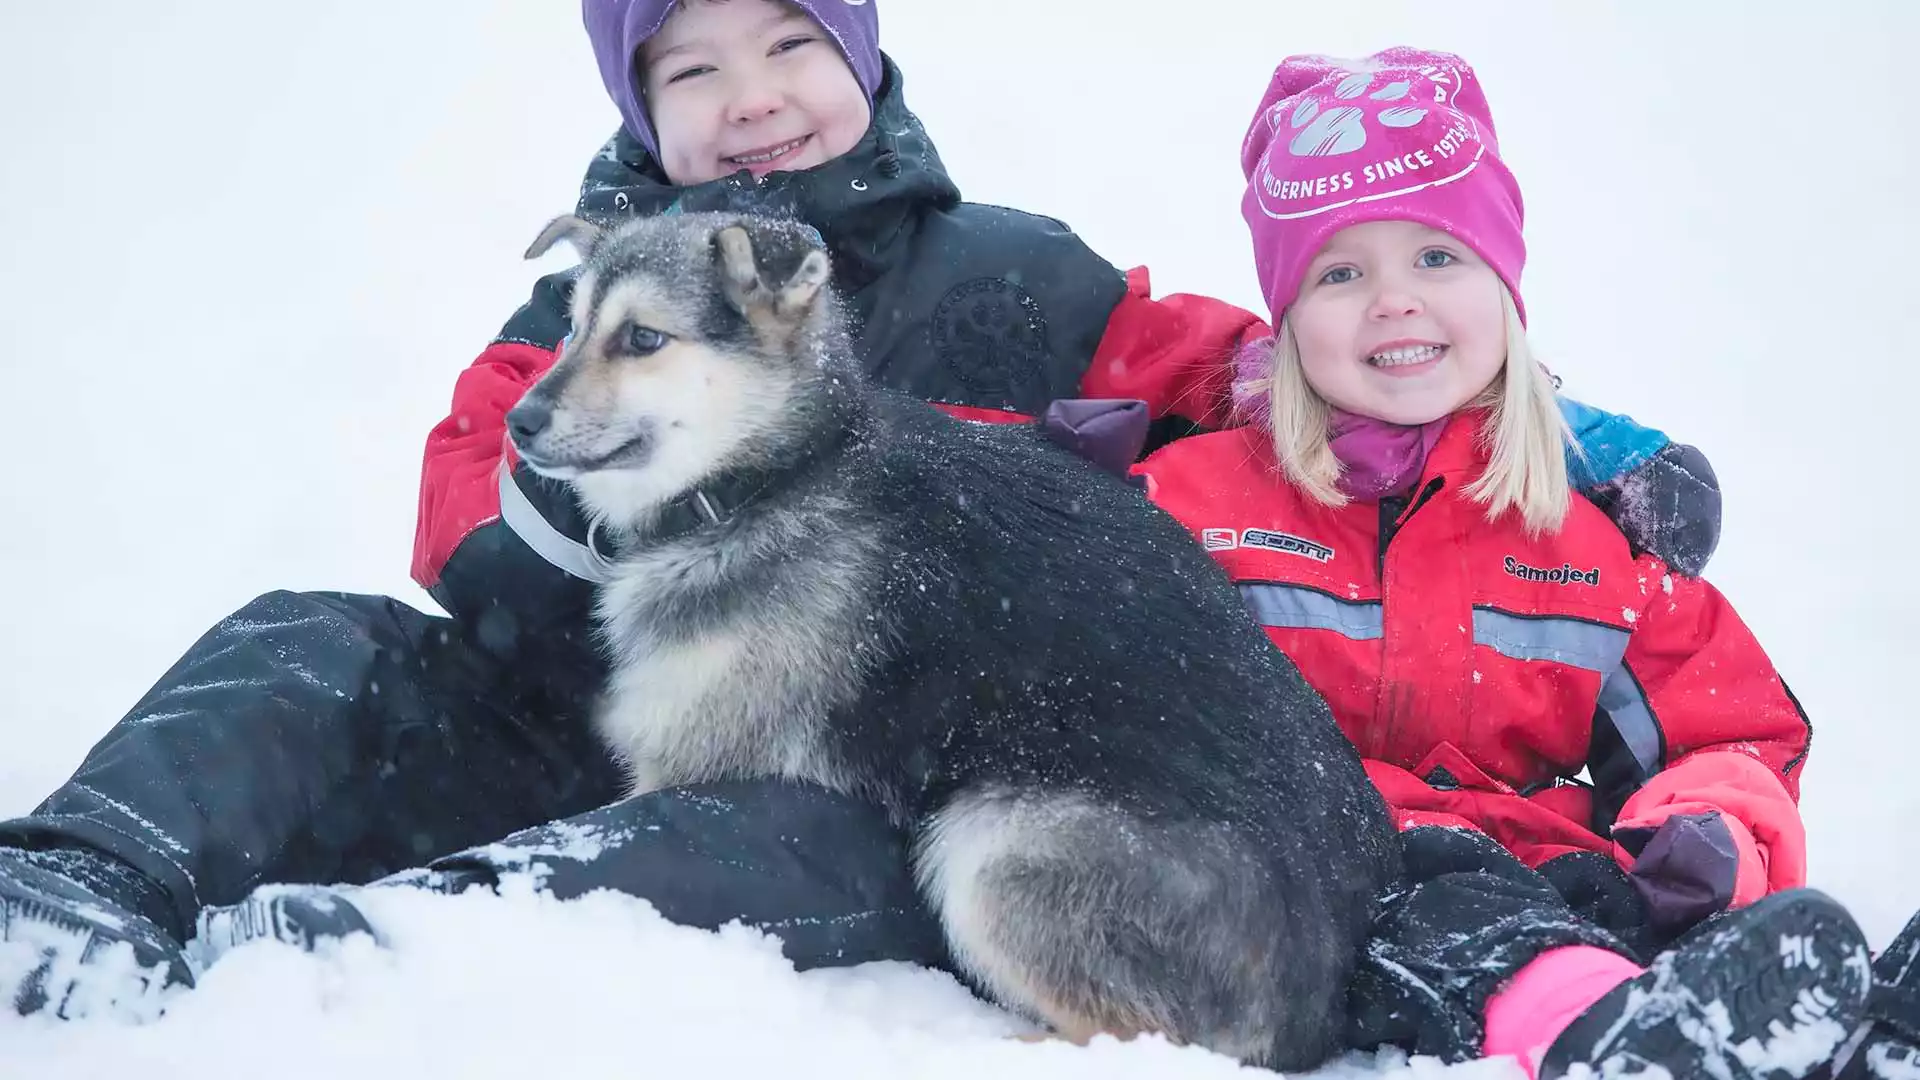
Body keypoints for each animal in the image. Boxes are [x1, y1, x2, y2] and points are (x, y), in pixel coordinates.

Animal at [503, 210, 1390, 1068]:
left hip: (991, 842)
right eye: (571, 329)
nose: (519, 422)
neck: (773, 478)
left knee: (1144, 1036)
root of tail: (1323, 1005)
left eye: (643, 338)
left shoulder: (692, 763)